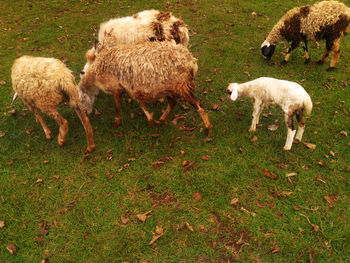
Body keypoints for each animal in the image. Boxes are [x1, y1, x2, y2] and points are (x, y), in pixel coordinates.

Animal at [78, 41, 212, 136]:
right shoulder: (133, 88)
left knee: (198, 105)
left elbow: (118, 107)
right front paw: (151, 120)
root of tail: (190, 60)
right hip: (169, 88)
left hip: (181, 86)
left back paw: (208, 129)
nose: (87, 114)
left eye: (82, 101)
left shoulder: (116, 88)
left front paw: (116, 123)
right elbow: (140, 103)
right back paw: (161, 120)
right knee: (172, 103)